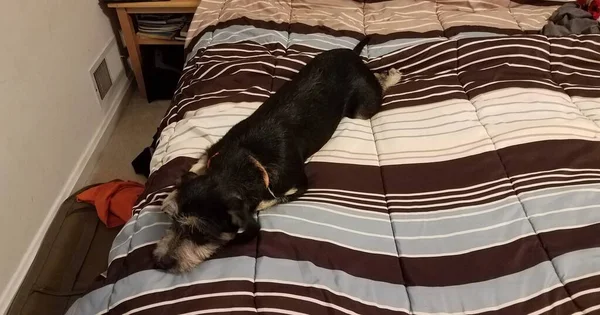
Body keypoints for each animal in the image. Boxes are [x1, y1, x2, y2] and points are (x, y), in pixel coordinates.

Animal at [154, 37, 404, 274]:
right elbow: (196, 166)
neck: (244, 160)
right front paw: (170, 197)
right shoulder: (215, 147)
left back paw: (392, 77)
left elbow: (266, 202)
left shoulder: (299, 185)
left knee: (376, 89)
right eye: (173, 221)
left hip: (362, 109)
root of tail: (351, 55)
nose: (160, 262)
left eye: (201, 234)